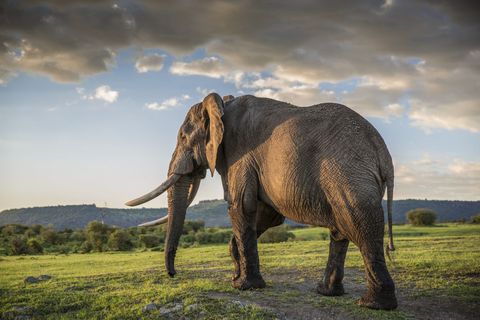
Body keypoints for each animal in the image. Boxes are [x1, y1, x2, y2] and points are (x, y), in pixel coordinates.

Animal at [126, 93, 398, 310]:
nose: (173, 274)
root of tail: (383, 153)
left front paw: (243, 286)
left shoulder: (239, 153)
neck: (221, 106)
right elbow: (267, 214)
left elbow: (240, 205)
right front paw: (236, 274)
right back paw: (328, 293)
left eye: (183, 137)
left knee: (359, 225)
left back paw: (373, 305)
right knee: (340, 230)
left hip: (347, 174)